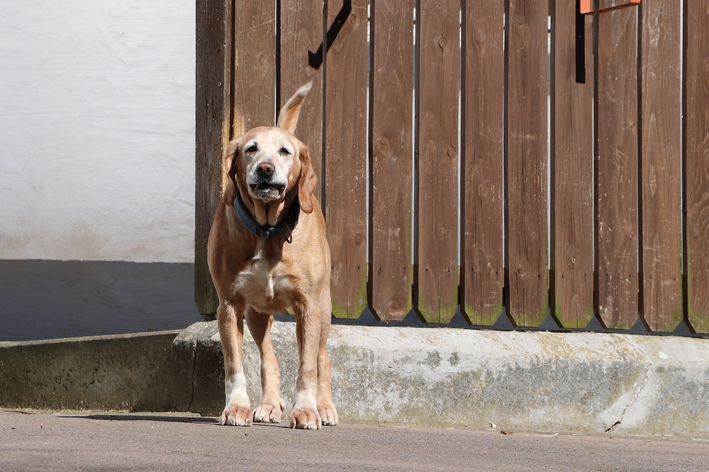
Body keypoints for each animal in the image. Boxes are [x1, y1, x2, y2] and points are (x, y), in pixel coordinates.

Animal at [207, 83, 338, 430]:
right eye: (250, 149)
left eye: (284, 152)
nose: (265, 169)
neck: (267, 231)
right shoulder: (229, 306)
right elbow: (235, 366)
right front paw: (237, 407)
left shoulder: (308, 307)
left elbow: (307, 367)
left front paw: (306, 410)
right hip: (256, 314)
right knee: (269, 358)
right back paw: (268, 404)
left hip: (323, 309)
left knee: (322, 358)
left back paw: (324, 406)